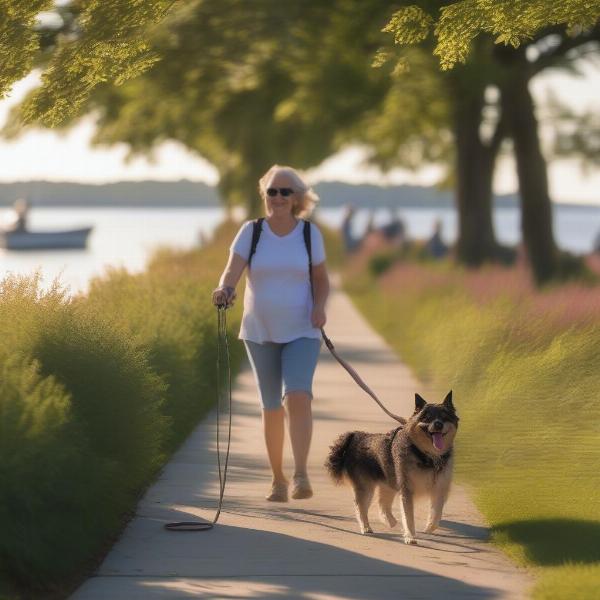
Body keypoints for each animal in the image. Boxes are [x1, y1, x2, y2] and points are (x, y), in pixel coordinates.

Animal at [324, 390, 460, 544]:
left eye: (444, 417)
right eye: (427, 417)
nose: (438, 424)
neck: (427, 455)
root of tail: (356, 436)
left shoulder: (439, 489)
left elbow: (437, 513)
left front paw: (429, 528)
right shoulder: (407, 491)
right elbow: (408, 517)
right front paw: (410, 537)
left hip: (388, 485)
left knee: (382, 505)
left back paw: (390, 521)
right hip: (366, 487)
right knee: (361, 507)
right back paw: (366, 527)